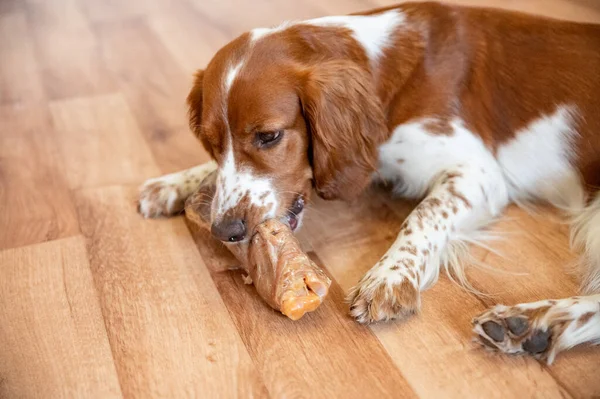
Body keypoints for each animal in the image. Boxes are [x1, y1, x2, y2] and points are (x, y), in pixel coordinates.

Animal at [137, 1, 600, 364]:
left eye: (268, 136)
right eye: (212, 143)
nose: (226, 231)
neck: (380, 69)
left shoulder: (477, 171)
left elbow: (424, 214)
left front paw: (391, 277)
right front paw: (174, 183)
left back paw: (541, 321)